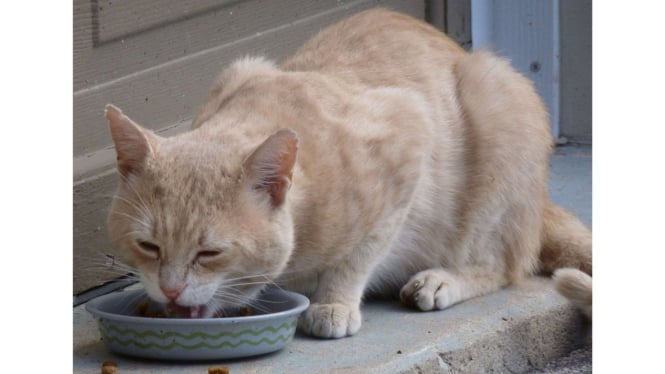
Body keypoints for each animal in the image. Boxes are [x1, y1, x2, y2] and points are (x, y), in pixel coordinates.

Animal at [104, 8, 592, 338]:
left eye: (210, 253)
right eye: (148, 246)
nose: (169, 291)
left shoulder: (409, 139)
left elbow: (359, 255)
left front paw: (333, 303)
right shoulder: (239, 68)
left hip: (498, 109)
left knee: (504, 265)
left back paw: (442, 279)